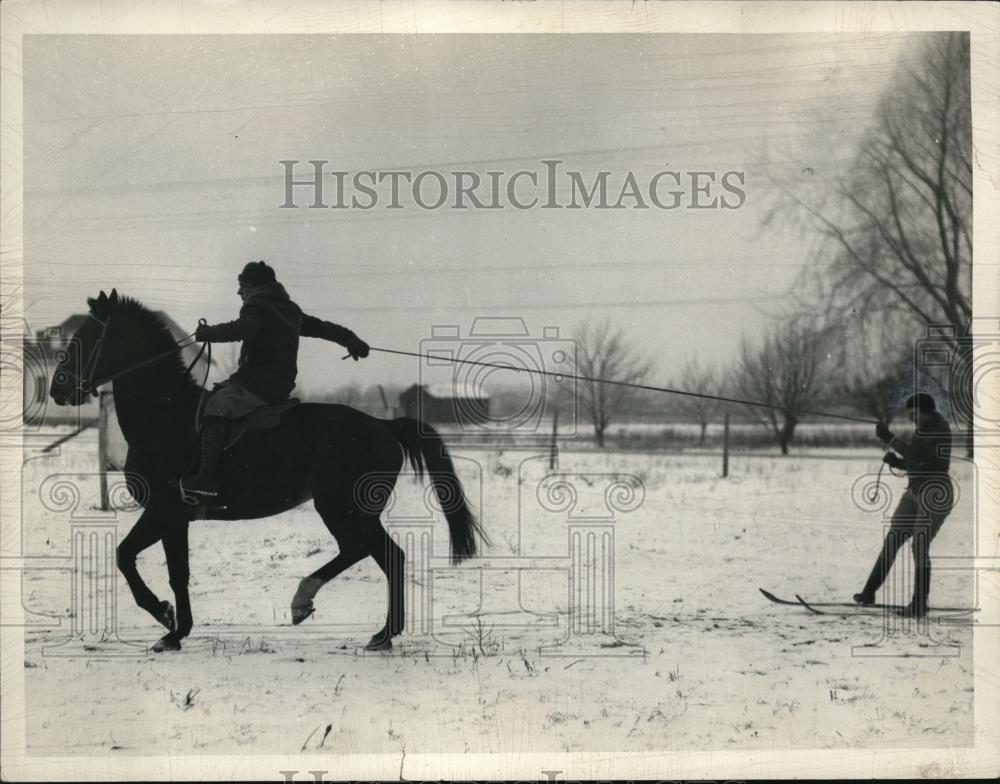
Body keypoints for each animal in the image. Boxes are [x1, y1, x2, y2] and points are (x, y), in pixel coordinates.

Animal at [48, 290, 486, 652]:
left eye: (88, 334)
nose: (58, 388)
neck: (166, 415)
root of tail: (384, 425)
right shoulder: (176, 518)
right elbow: (177, 573)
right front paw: (177, 629)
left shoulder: (163, 511)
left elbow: (126, 557)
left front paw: (164, 617)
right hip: (351, 510)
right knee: (380, 554)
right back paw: (379, 632)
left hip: (342, 507)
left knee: (371, 551)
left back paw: (314, 604)